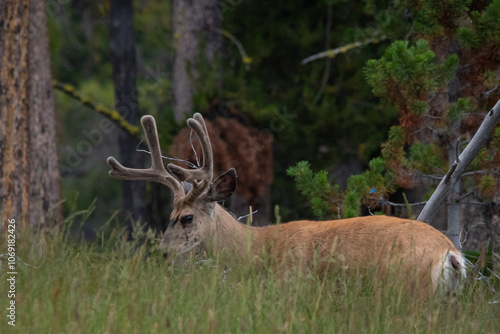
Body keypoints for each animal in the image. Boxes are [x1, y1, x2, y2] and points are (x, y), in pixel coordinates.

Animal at [105, 113, 464, 298]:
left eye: (187, 218)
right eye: (170, 215)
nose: (162, 252)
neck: (253, 250)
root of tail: (451, 254)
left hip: (409, 291)